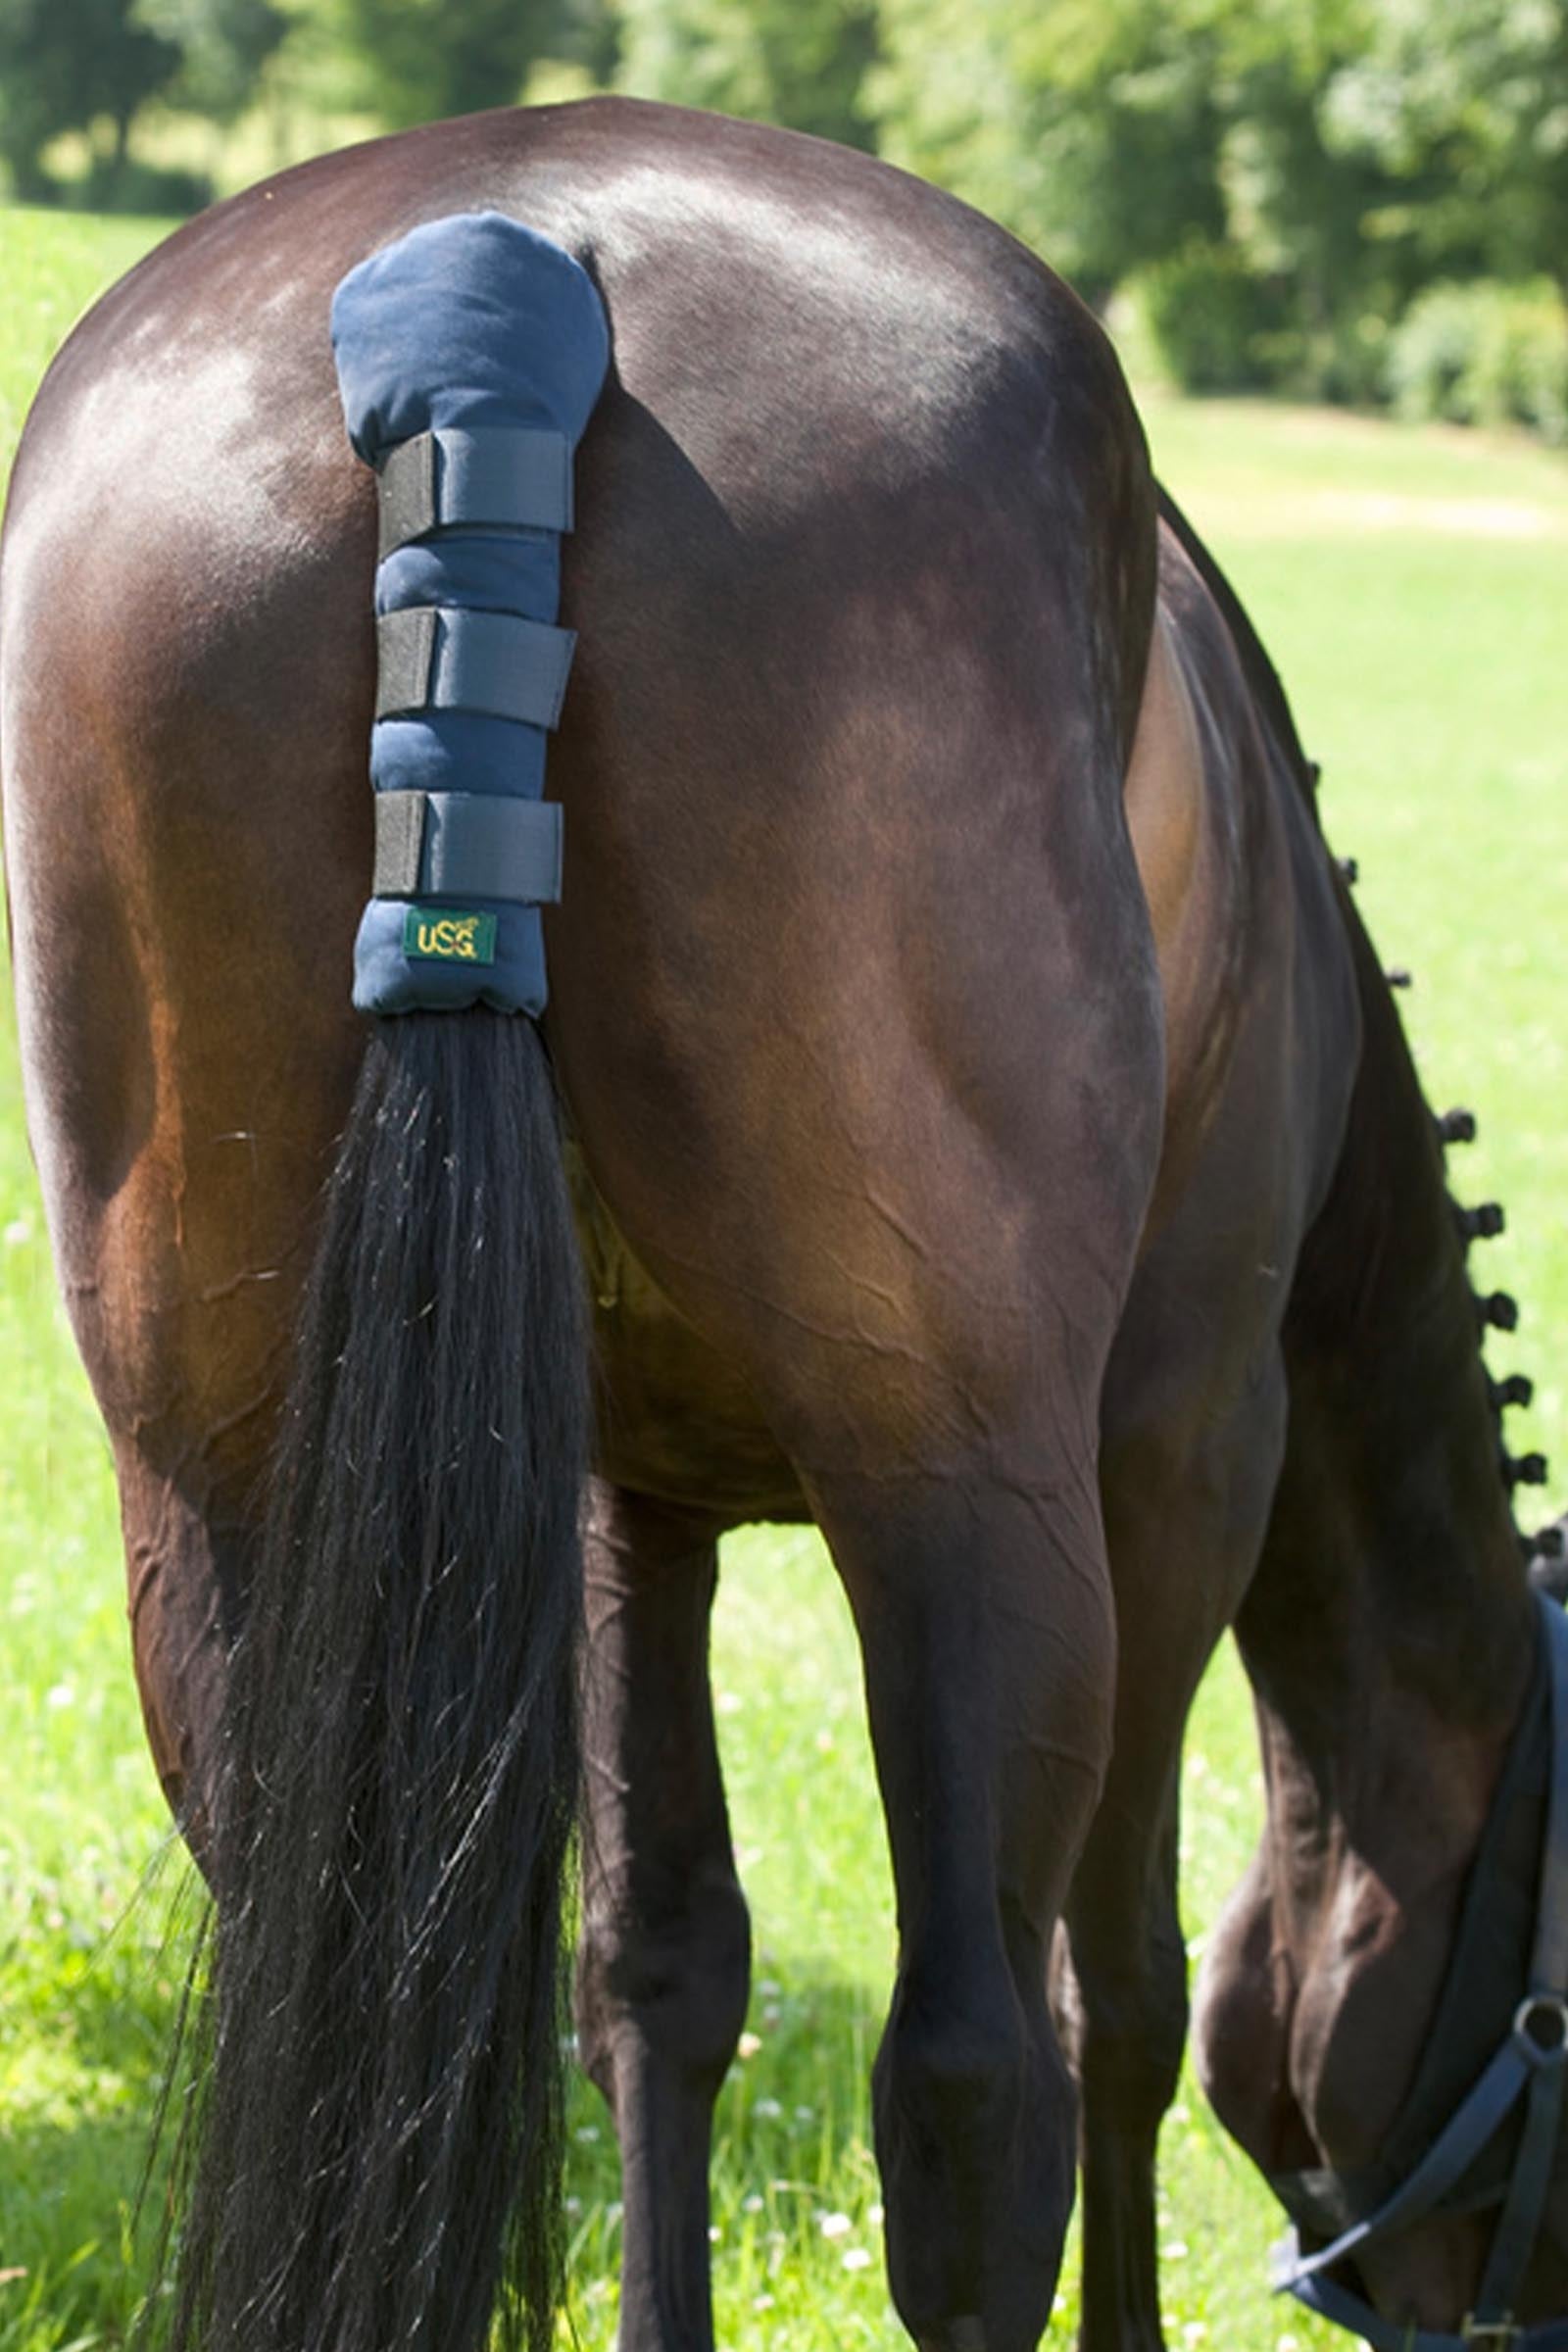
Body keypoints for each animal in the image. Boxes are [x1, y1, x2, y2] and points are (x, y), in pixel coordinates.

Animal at [3, 93, 1564, 2352]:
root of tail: (494, 279)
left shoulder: (620, 1496)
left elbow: (654, 1971)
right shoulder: (1179, 1454)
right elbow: (1122, 1997)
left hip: (220, 1502)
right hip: (967, 1488)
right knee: (976, 2082)